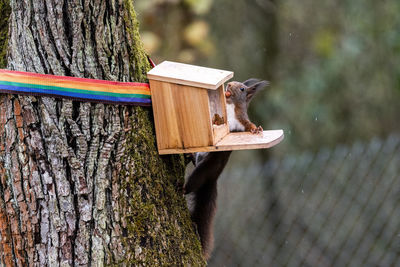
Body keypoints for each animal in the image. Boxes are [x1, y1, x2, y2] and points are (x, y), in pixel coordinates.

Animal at [185, 78, 268, 262]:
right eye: (234, 82)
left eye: (242, 88)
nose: (228, 85)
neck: (230, 106)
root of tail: (213, 178)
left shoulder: (239, 123)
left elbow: (247, 126)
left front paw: (256, 129)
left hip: (203, 171)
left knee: (190, 185)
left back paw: (181, 188)